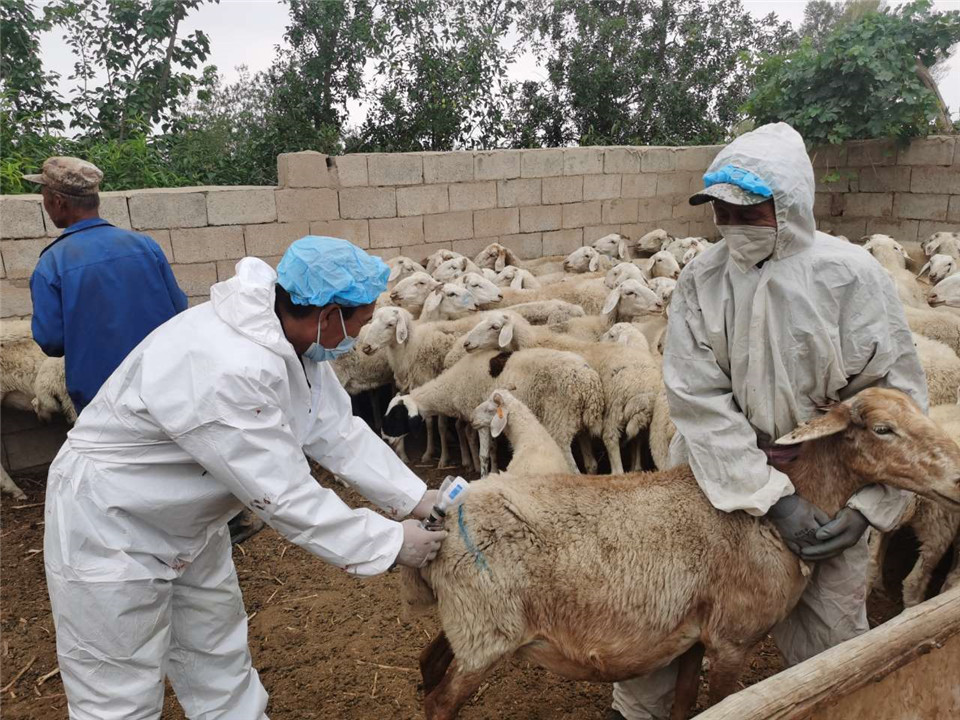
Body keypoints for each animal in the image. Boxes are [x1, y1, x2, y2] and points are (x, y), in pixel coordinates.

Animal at [382, 347, 605, 474]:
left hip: (559, 420)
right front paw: (494, 471)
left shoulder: (481, 421)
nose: (385, 439)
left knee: (571, 464)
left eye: (396, 416)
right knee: (590, 463)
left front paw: (483, 475)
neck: (452, 386)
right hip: (577, 422)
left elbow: (484, 455)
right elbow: (492, 449)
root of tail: (589, 382)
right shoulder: (490, 422)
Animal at [404, 387, 960, 720]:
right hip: (485, 632)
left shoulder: (693, 635)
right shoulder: (733, 638)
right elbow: (723, 702)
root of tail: (448, 517)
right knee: (440, 703)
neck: (772, 519)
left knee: (428, 665)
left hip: (471, 625)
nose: (958, 476)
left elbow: (685, 704)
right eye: (883, 429)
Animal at [459, 311, 660, 473]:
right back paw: (636, 468)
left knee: (610, 440)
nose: (467, 343)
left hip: (612, 409)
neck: (532, 341)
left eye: (495, 327)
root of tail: (646, 387)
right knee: (637, 439)